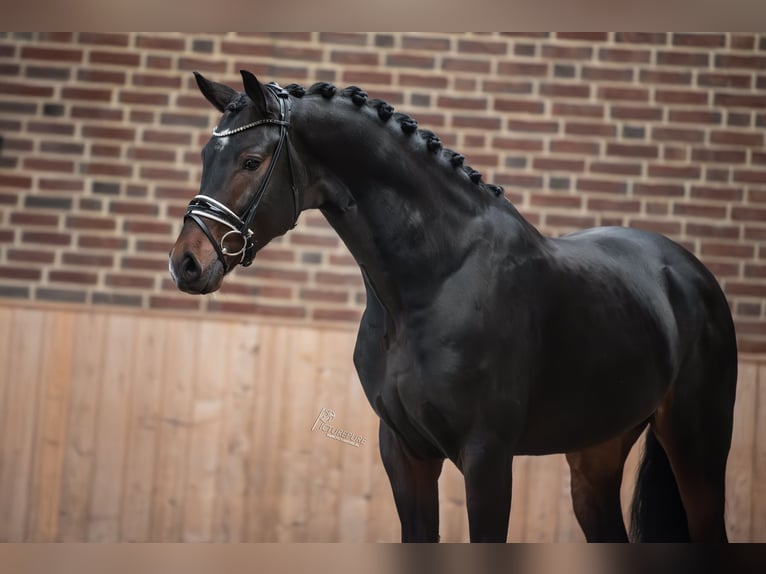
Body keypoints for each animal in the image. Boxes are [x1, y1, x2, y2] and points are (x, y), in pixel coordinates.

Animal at [170, 72, 736, 544]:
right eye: (205, 156)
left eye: (251, 160)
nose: (186, 264)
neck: (435, 281)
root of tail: (689, 273)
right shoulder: (405, 453)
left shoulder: (487, 458)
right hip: (596, 456)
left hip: (698, 452)